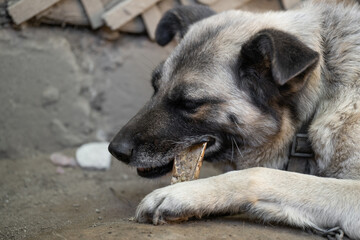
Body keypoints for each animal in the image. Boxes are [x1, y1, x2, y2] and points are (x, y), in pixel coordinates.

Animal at [108, 0, 360, 239]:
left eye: (189, 104)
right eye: (154, 87)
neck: (319, 97)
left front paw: (182, 194)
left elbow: (257, 174)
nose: (115, 150)